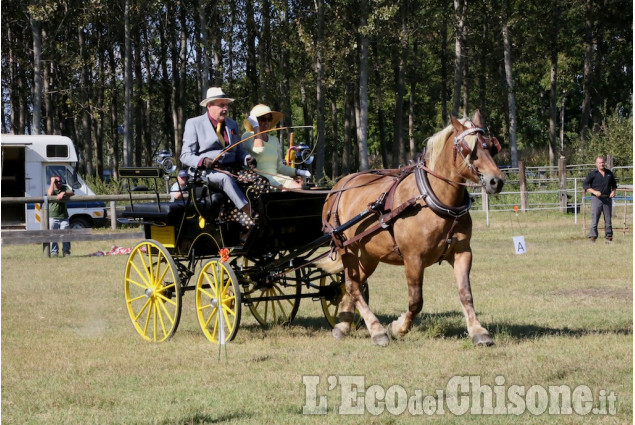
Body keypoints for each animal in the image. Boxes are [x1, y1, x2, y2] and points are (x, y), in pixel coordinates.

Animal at [322, 109, 506, 344]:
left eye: (491, 146)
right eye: (468, 149)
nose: (496, 181)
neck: (431, 198)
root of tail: (337, 187)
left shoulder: (462, 252)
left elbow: (466, 294)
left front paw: (478, 331)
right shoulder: (413, 259)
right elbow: (416, 301)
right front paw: (398, 327)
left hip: (369, 255)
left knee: (353, 283)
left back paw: (343, 324)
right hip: (348, 248)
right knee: (354, 286)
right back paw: (377, 330)